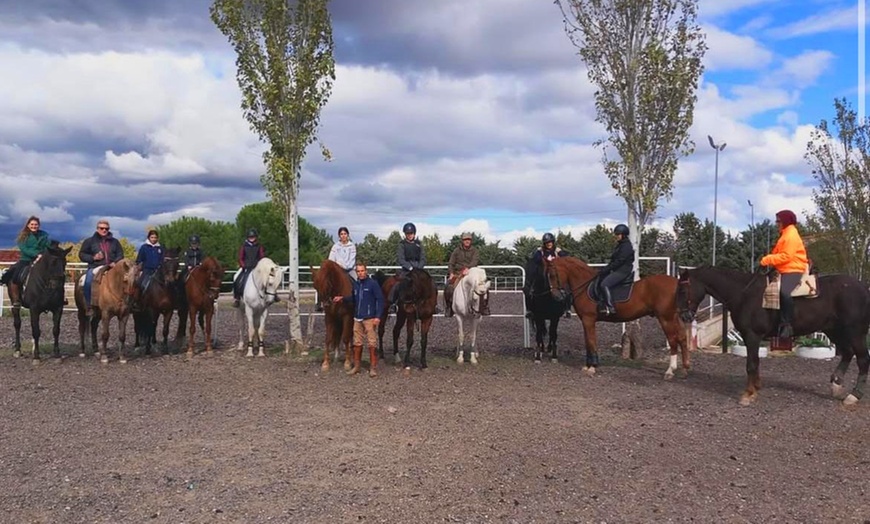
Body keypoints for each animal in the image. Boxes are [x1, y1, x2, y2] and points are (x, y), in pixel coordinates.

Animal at [544, 256, 696, 376]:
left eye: (552, 275)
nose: (556, 296)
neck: (586, 286)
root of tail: (675, 283)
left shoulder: (588, 320)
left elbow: (591, 342)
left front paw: (593, 367)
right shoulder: (585, 321)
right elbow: (588, 342)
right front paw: (588, 365)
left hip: (666, 318)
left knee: (673, 340)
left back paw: (670, 370)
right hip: (674, 318)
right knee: (682, 338)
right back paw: (685, 369)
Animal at [676, 268, 870, 408]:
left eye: (683, 290)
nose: (684, 316)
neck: (743, 293)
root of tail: (863, 288)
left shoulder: (752, 335)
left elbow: (751, 364)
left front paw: (748, 394)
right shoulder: (750, 337)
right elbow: (755, 362)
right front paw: (756, 387)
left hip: (855, 332)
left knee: (862, 359)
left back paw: (854, 396)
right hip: (834, 330)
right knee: (847, 353)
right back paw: (836, 386)